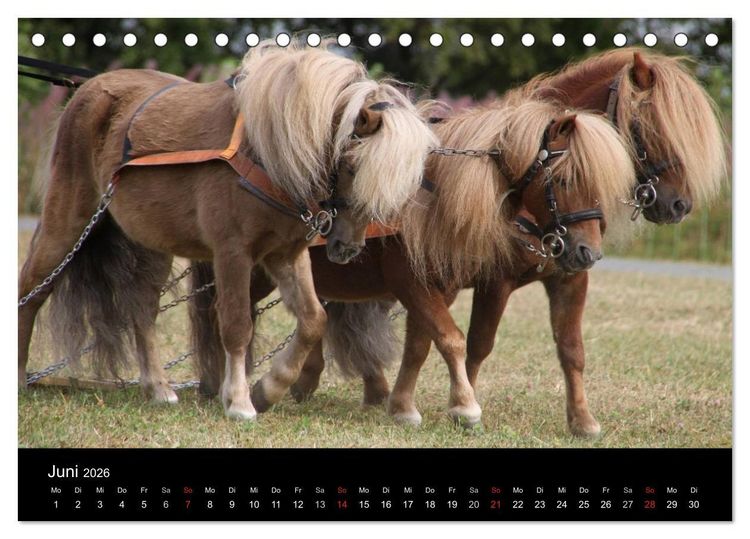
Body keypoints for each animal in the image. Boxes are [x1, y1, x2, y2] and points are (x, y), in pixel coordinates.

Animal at [17, 41, 438, 421]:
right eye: (352, 165)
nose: (348, 248)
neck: (266, 152)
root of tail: (88, 89)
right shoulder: (233, 253)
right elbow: (236, 325)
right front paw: (239, 401)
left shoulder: (285, 254)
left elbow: (313, 319)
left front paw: (269, 389)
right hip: (68, 220)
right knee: (33, 289)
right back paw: (21, 378)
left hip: (152, 244)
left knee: (142, 310)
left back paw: (158, 388)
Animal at [189, 96, 636, 427]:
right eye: (563, 179)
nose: (588, 253)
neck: (435, 195)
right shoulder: (424, 283)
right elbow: (453, 339)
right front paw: (463, 407)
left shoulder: (446, 286)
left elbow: (424, 343)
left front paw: (405, 406)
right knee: (226, 315)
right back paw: (232, 388)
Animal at [267, 48, 728, 436]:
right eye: (647, 127)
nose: (678, 205)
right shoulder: (482, 281)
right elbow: (467, 343)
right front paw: (457, 405)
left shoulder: (566, 277)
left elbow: (569, 349)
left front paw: (582, 420)